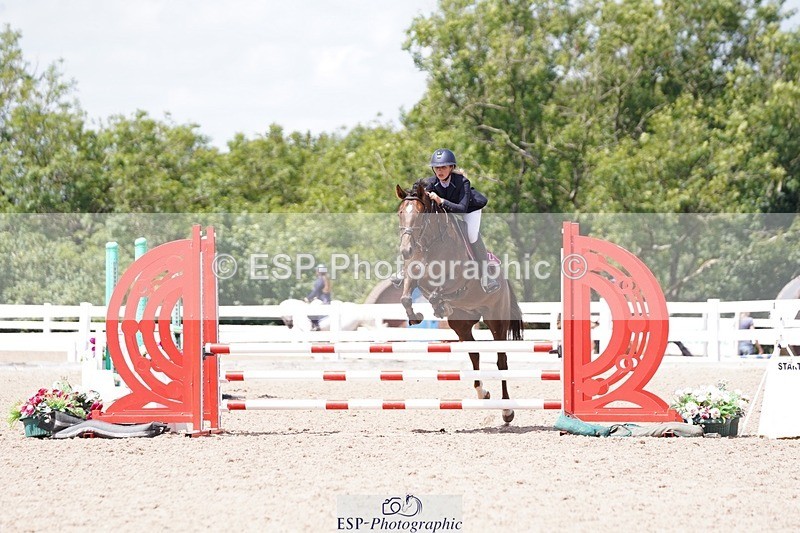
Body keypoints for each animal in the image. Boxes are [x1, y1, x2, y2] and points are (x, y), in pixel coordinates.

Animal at [395, 181, 524, 423]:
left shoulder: (456, 278)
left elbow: (438, 290)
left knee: (501, 360)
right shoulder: (414, 273)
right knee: (474, 353)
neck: (431, 242)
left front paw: (438, 304)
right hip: (461, 323)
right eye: (400, 213)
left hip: (496, 319)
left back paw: (507, 411)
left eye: (419, 215)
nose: (406, 251)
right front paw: (416, 316)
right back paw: (483, 393)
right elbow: (406, 296)